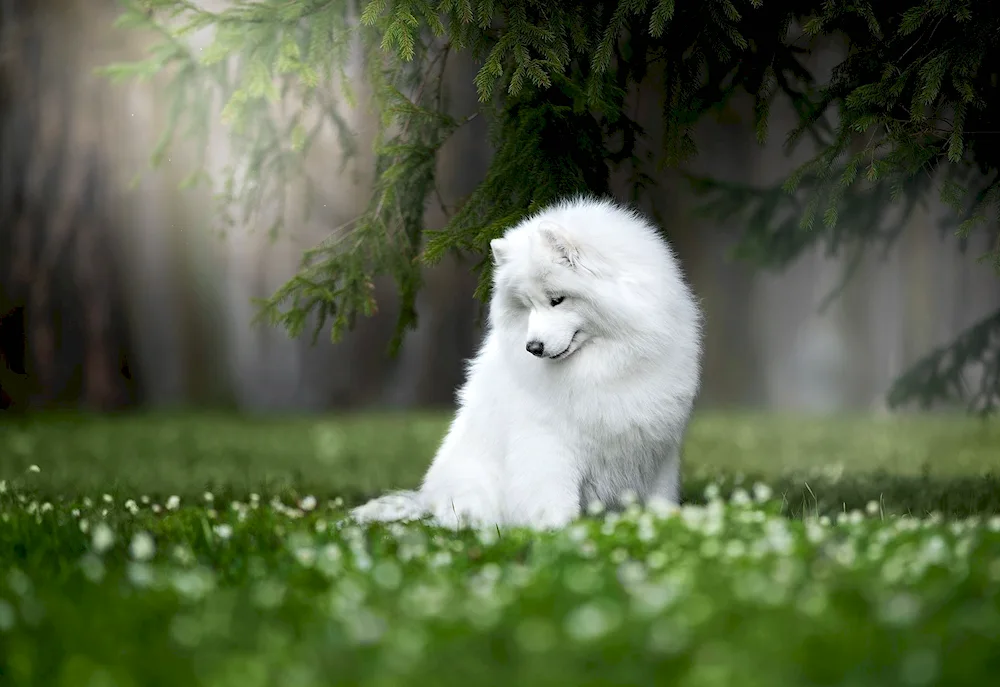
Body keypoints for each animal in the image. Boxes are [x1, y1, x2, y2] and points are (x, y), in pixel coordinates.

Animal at [352, 196, 704, 528]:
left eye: (557, 300)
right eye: (527, 305)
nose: (533, 347)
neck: (607, 361)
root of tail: (425, 501)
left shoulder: (658, 449)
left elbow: (660, 497)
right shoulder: (548, 443)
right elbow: (552, 498)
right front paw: (559, 531)